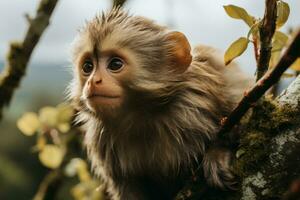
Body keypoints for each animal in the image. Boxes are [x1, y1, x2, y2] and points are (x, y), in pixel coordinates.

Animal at [67, 7, 251, 199]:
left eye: (115, 64)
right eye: (88, 67)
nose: (92, 82)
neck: (142, 116)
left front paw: (218, 154)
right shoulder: (101, 139)